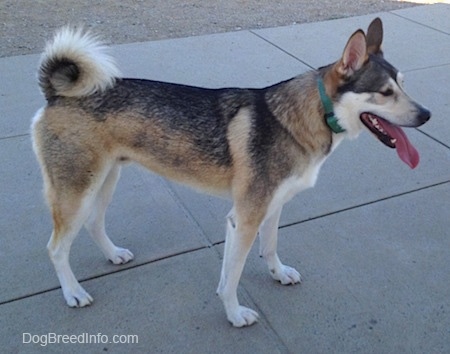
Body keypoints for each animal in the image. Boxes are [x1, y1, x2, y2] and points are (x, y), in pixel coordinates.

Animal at [30, 18, 428, 326]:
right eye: (385, 92)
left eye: (403, 84)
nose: (427, 115)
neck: (306, 115)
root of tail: (56, 94)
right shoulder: (245, 218)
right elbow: (231, 278)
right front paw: (235, 314)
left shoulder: (273, 207)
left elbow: (270, 248)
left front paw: (278, 274)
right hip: (77, 191)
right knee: (55, 248)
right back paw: (73, 292)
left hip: (103, 181)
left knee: (94, 224)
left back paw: (113, 255)